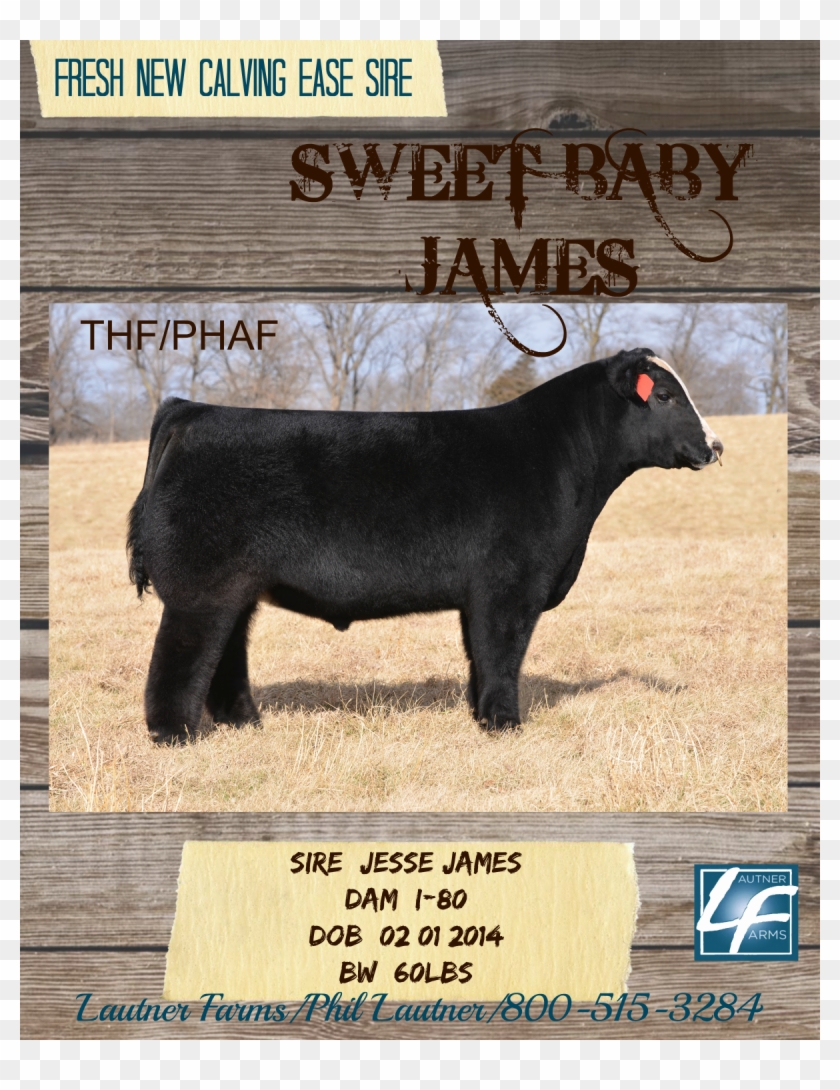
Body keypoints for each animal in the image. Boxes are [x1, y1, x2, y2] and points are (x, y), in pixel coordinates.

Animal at [127, 346, 723, 744]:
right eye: (664, 395)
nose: (715, 446)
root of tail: (191, 410)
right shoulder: (510, 587)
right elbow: (502, 653)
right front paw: (506, 725)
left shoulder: (480, 594)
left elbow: (480, 656)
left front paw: (482, 718)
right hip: (201, 589)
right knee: (178, 659)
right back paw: (174, 735)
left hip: (236, 589)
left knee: (226, 653)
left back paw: (247, 724)